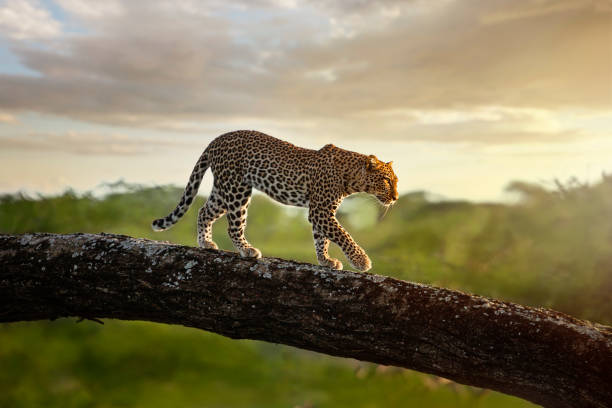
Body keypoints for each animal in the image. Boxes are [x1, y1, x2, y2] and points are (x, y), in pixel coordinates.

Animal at [151, 130, 400, 270]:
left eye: (395, 181)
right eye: (387, 181)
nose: (396, 198)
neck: (351, 178)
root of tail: (217, 138)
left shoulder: (321, 212)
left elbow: (322, 239)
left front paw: (326, 261)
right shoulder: (320, 210)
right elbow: (343, 235)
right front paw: (361, 262)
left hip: (223, 190)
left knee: (204, 211)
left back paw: (206, 243)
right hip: (236, 189)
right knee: (233, 226)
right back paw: (247, 250)